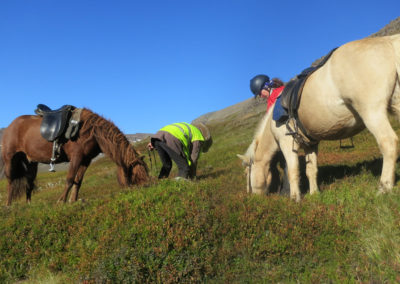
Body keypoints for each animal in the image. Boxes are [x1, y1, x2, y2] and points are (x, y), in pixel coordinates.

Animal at [1, 107, 148, 205]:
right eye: (134, 175)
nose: (144, 189)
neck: (92, 131)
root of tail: (11, 125)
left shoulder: (85, 160)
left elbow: (78, 181)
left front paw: (73, 200)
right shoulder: (76, 157)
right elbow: (70, 179)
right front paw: (62, 201)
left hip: (31, 163)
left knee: (29, 183)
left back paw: (28, 204)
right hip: (10, 159)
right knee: (11, 181)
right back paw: (8, 204)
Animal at [239, 34, 400, 201]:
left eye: (246, 173)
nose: (251, 196)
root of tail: (388, 42)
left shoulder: (286, 142)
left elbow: (293, 171)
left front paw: (295, 198)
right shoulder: (311, 145)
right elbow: (311, 170)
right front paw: (314, 193)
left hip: (371, 112)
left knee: (388, 143)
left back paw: (384, 188)